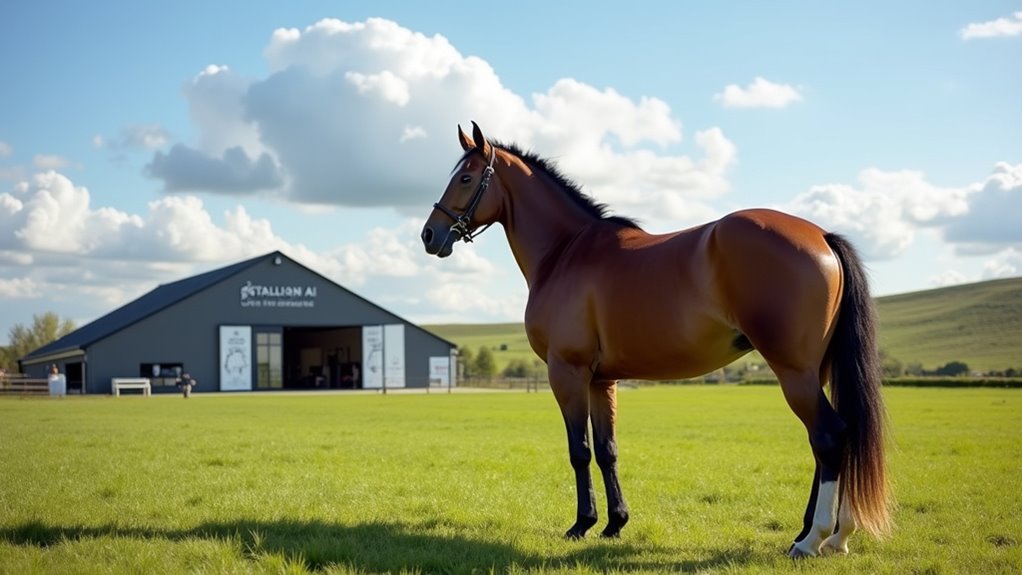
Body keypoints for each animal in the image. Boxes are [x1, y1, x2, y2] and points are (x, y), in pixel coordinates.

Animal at [420, 122, 891, 558]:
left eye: (466, 178)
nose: (429, 234)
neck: (565, 251)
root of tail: (822, 237)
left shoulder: (567, 372)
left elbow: (580, 450)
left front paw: (581, 524)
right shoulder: (601, 380)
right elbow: (607, 449)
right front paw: (614, 523)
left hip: (793, 371)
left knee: (829, 436)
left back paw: (815, 539)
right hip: (817, 372)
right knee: (832, 440)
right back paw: (824, 534)